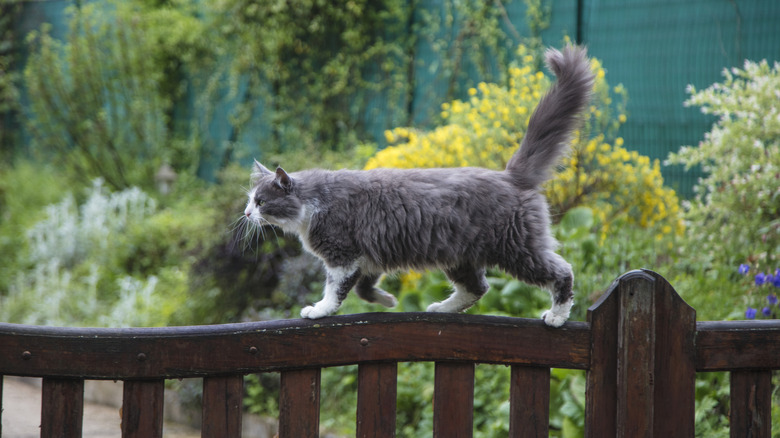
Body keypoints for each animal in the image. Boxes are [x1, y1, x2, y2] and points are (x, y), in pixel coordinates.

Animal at [242, 45, 592, 326]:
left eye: (261, 202)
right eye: (250, 200)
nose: (246, 214)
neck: (315, 202)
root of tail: (510, 175)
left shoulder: (342, 254)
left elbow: (336, 288)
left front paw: (319, 309)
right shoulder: (367, 255)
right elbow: (364, 288)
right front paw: (388, 301)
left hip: (517, 248)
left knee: (562, 272)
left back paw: (556, 316)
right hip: (461, 256)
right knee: (477, 288)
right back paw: (441, 309)